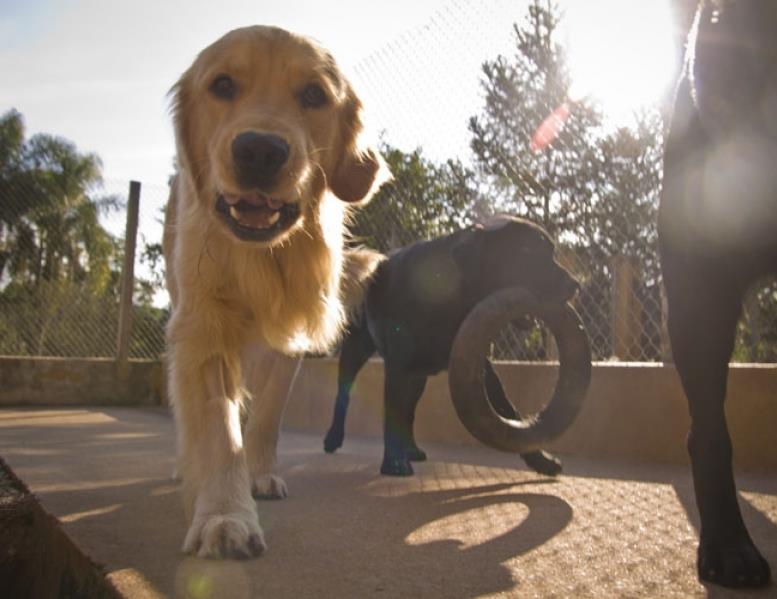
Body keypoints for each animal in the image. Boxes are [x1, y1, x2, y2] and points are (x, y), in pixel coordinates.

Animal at [165, 25, 388, 560]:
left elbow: (267, 414)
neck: (262, 258)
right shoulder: (203, 325)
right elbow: (218, 427)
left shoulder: (292, 336)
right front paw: (224, 514)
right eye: (222, 85)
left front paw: (259, 472)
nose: (259, 151)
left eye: (314, 95)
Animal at [322, 218, 576, 476]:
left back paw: (411, 449)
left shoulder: (480, 365)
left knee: (409, 412)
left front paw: (541, 459)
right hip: (356, 351)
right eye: (527, 251)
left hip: (418, 378)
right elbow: (391, 413)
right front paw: (393, 461)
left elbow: (509, 410)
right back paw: (334, 437)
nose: (574, 284)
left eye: (552, 252)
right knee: (344, 396)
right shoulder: (397, 366)